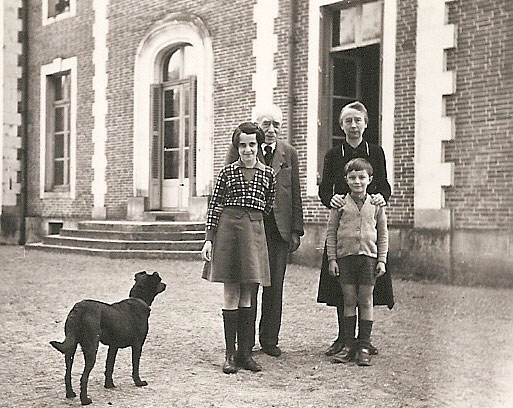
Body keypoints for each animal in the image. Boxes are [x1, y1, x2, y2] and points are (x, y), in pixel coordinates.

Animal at [50, 270, 166, 404]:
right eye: (159, 279)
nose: (165, 284)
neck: (138, 300)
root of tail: (79, 309)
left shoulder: (113, 346)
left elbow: (109, 366)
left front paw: (109, 385)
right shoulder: (137, 345)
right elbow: (135, 366)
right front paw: (139, 382)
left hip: (70, 348)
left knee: (67, 373)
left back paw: (70, 394)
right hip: (91, 348)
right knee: (84, 377)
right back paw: (85, 400)